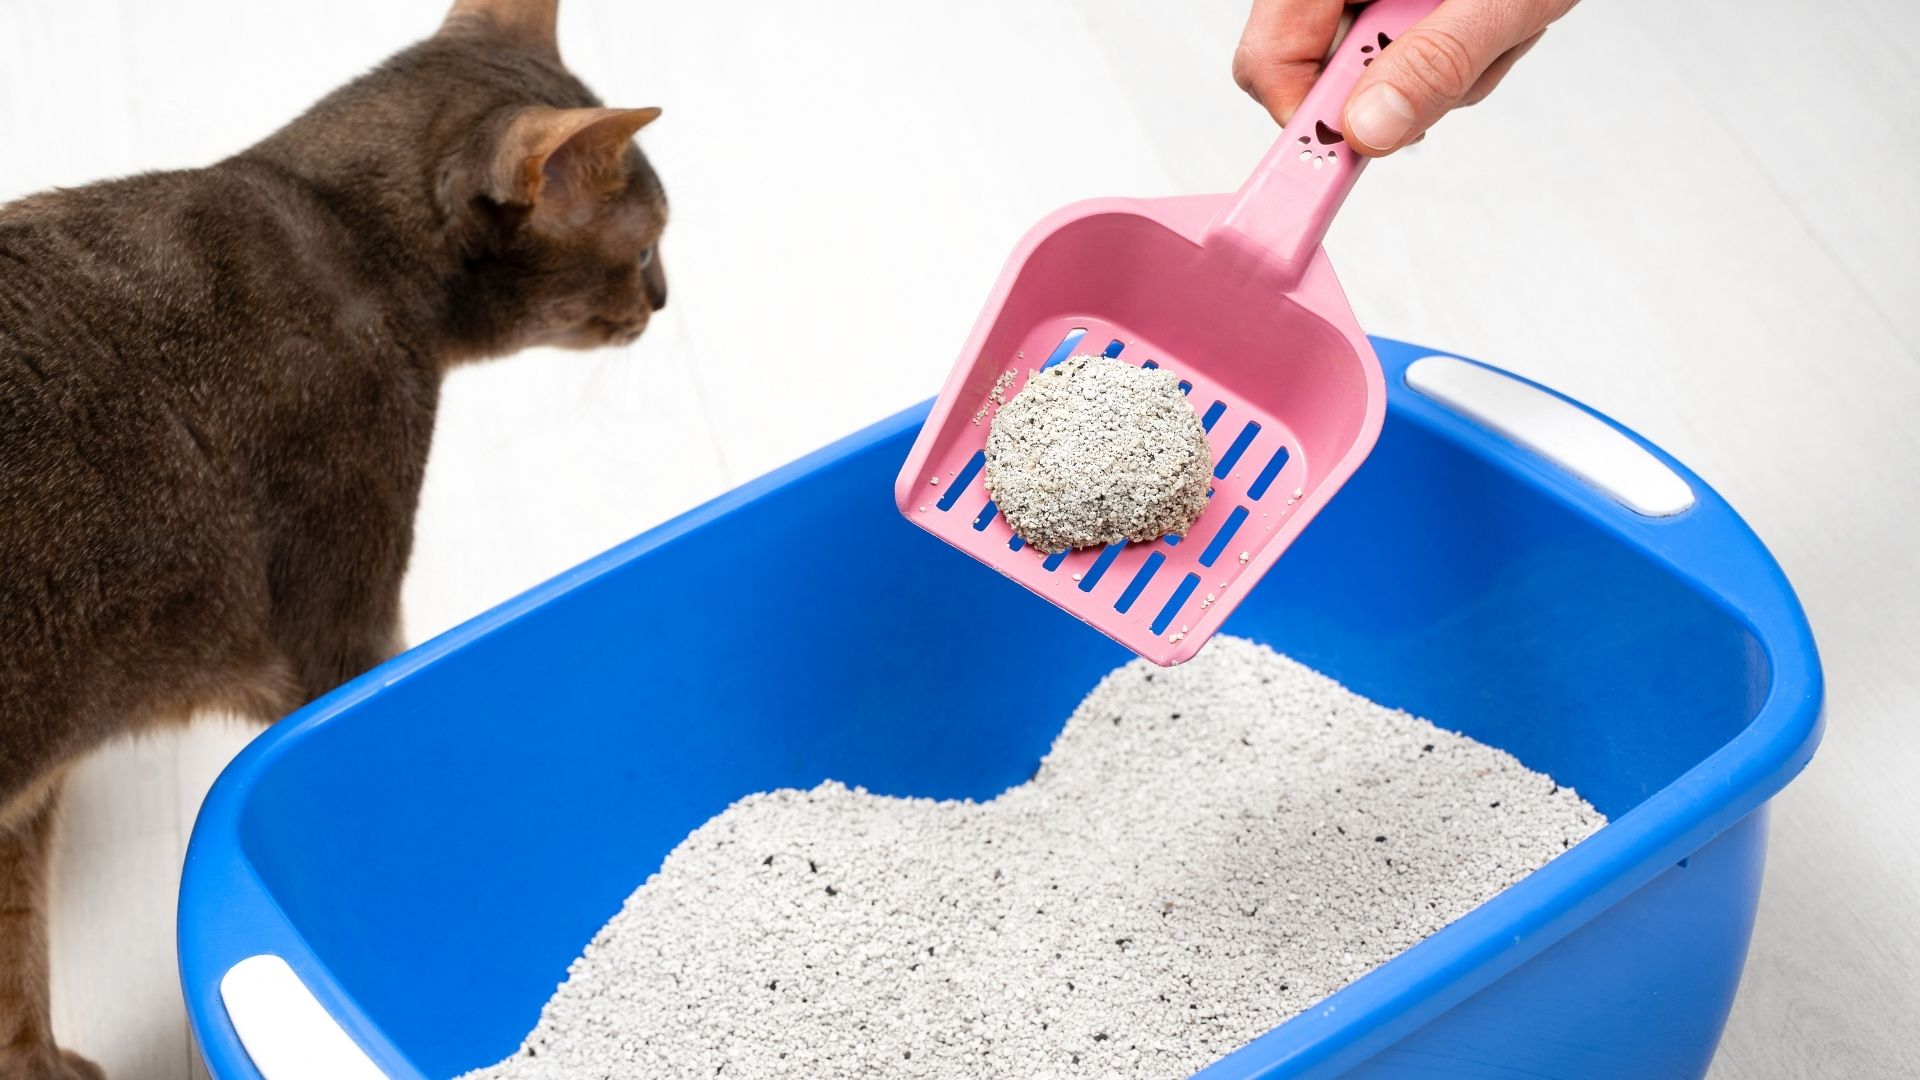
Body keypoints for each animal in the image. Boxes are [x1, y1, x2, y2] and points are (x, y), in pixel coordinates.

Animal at [0, 4, 668, 1068]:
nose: (665, 298)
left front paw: (49, 1067)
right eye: (646, 247)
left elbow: (14, 966)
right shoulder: (341, 624)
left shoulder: (29, 804)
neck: (340, 229)